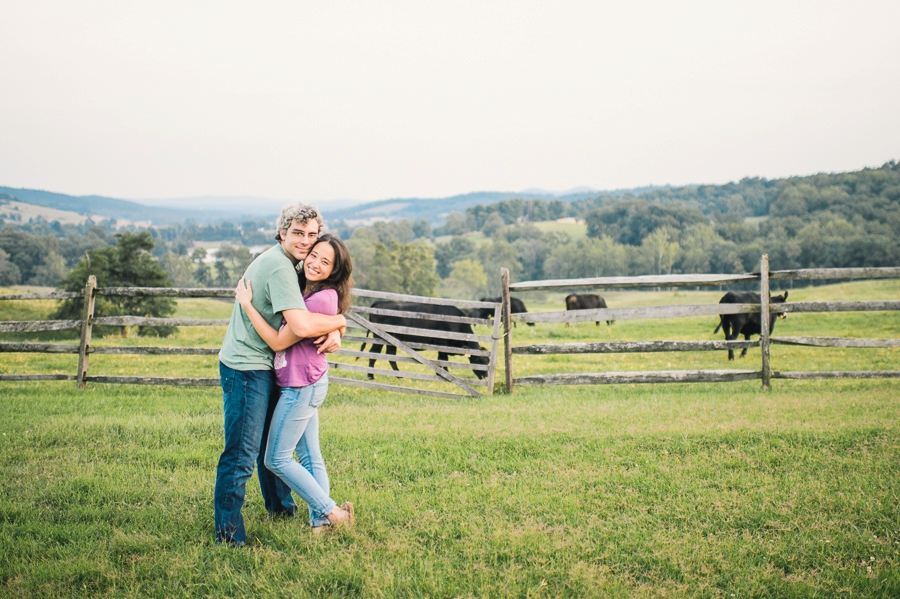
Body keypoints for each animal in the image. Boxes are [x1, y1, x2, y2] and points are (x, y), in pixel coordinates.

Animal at [360, 302, 492, 382]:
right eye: (478, 361)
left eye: (487, 361)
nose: (486, 377)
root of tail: (382, 302)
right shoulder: (441, 343)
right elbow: (443, 359)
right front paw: (445, 375)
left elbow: (441, 359)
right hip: (378, 338)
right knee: (373, 354)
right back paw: (371, 376)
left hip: (391, 341)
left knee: (391, 357)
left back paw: (399, 376)